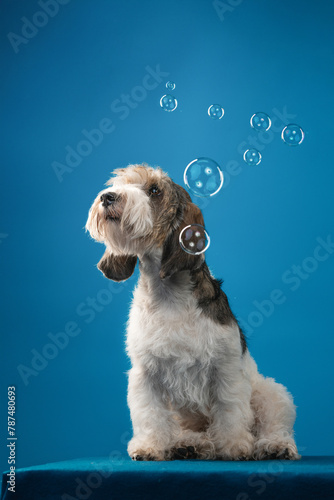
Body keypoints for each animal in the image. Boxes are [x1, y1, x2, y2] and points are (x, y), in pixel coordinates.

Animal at [86, 164, 300, 460]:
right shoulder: (145, 374)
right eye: (119, 183)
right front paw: (149, 446)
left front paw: (235, 445)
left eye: (154, 190)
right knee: (191, 433)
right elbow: (149, 413)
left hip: (271, 393)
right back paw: (191, 444)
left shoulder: (226, 370)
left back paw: (274, 445)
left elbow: (230, 410)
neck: (168, 294)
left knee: (274, 422)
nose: (107, 197)